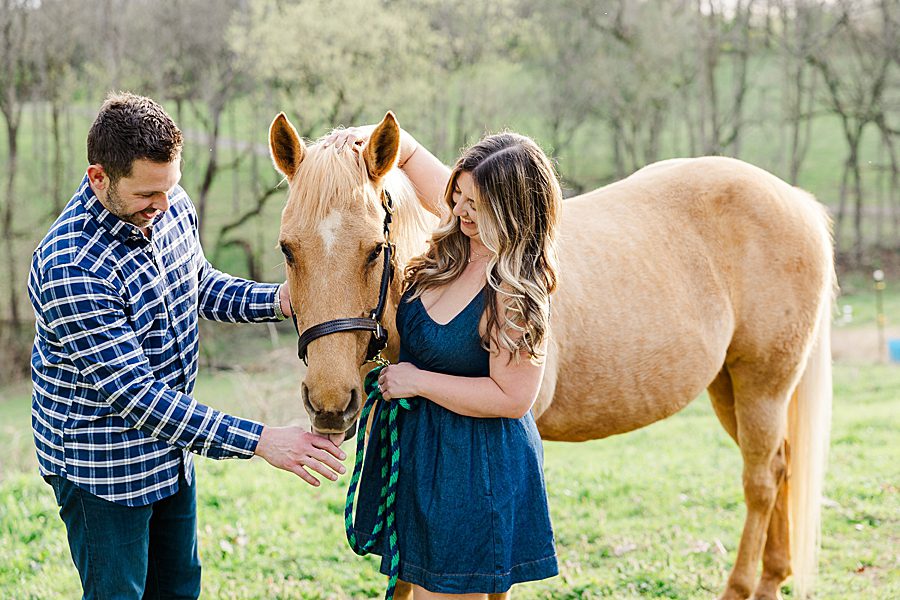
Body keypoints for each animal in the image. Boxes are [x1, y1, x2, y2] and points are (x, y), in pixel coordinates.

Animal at [268, 111, 834, 600]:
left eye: (373, 249)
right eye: (288, 249)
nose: (329, 404)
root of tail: (796, 199)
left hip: (763, 385)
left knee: (761, 482)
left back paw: (744, 586)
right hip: (728, 388)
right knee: (781, 467)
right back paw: (773, 576)